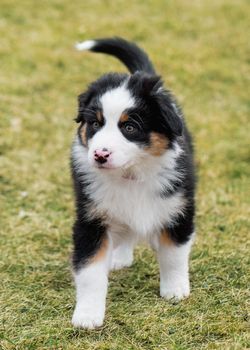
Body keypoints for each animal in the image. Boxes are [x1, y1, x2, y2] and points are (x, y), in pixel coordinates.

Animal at [70, 37, 195, 328]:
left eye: (129, 128)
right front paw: (87, 316)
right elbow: (90, 272)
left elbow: (174, 253)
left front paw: (175, 290)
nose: (100, 154)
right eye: (95, 123)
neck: (130, 174)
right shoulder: (91, 219)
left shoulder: (179, 207)